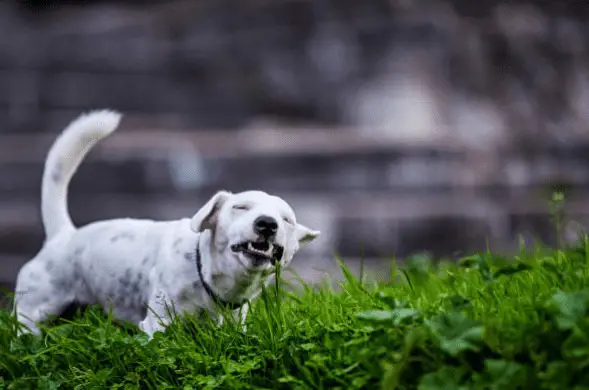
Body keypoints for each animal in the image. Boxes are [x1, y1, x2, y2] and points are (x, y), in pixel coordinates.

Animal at [11, 110, 320, 338]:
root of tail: (62, 235)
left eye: (286, 219)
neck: (209, 279)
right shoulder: (158, 324)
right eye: (240, 207)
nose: (267, 224)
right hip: (31, 314)